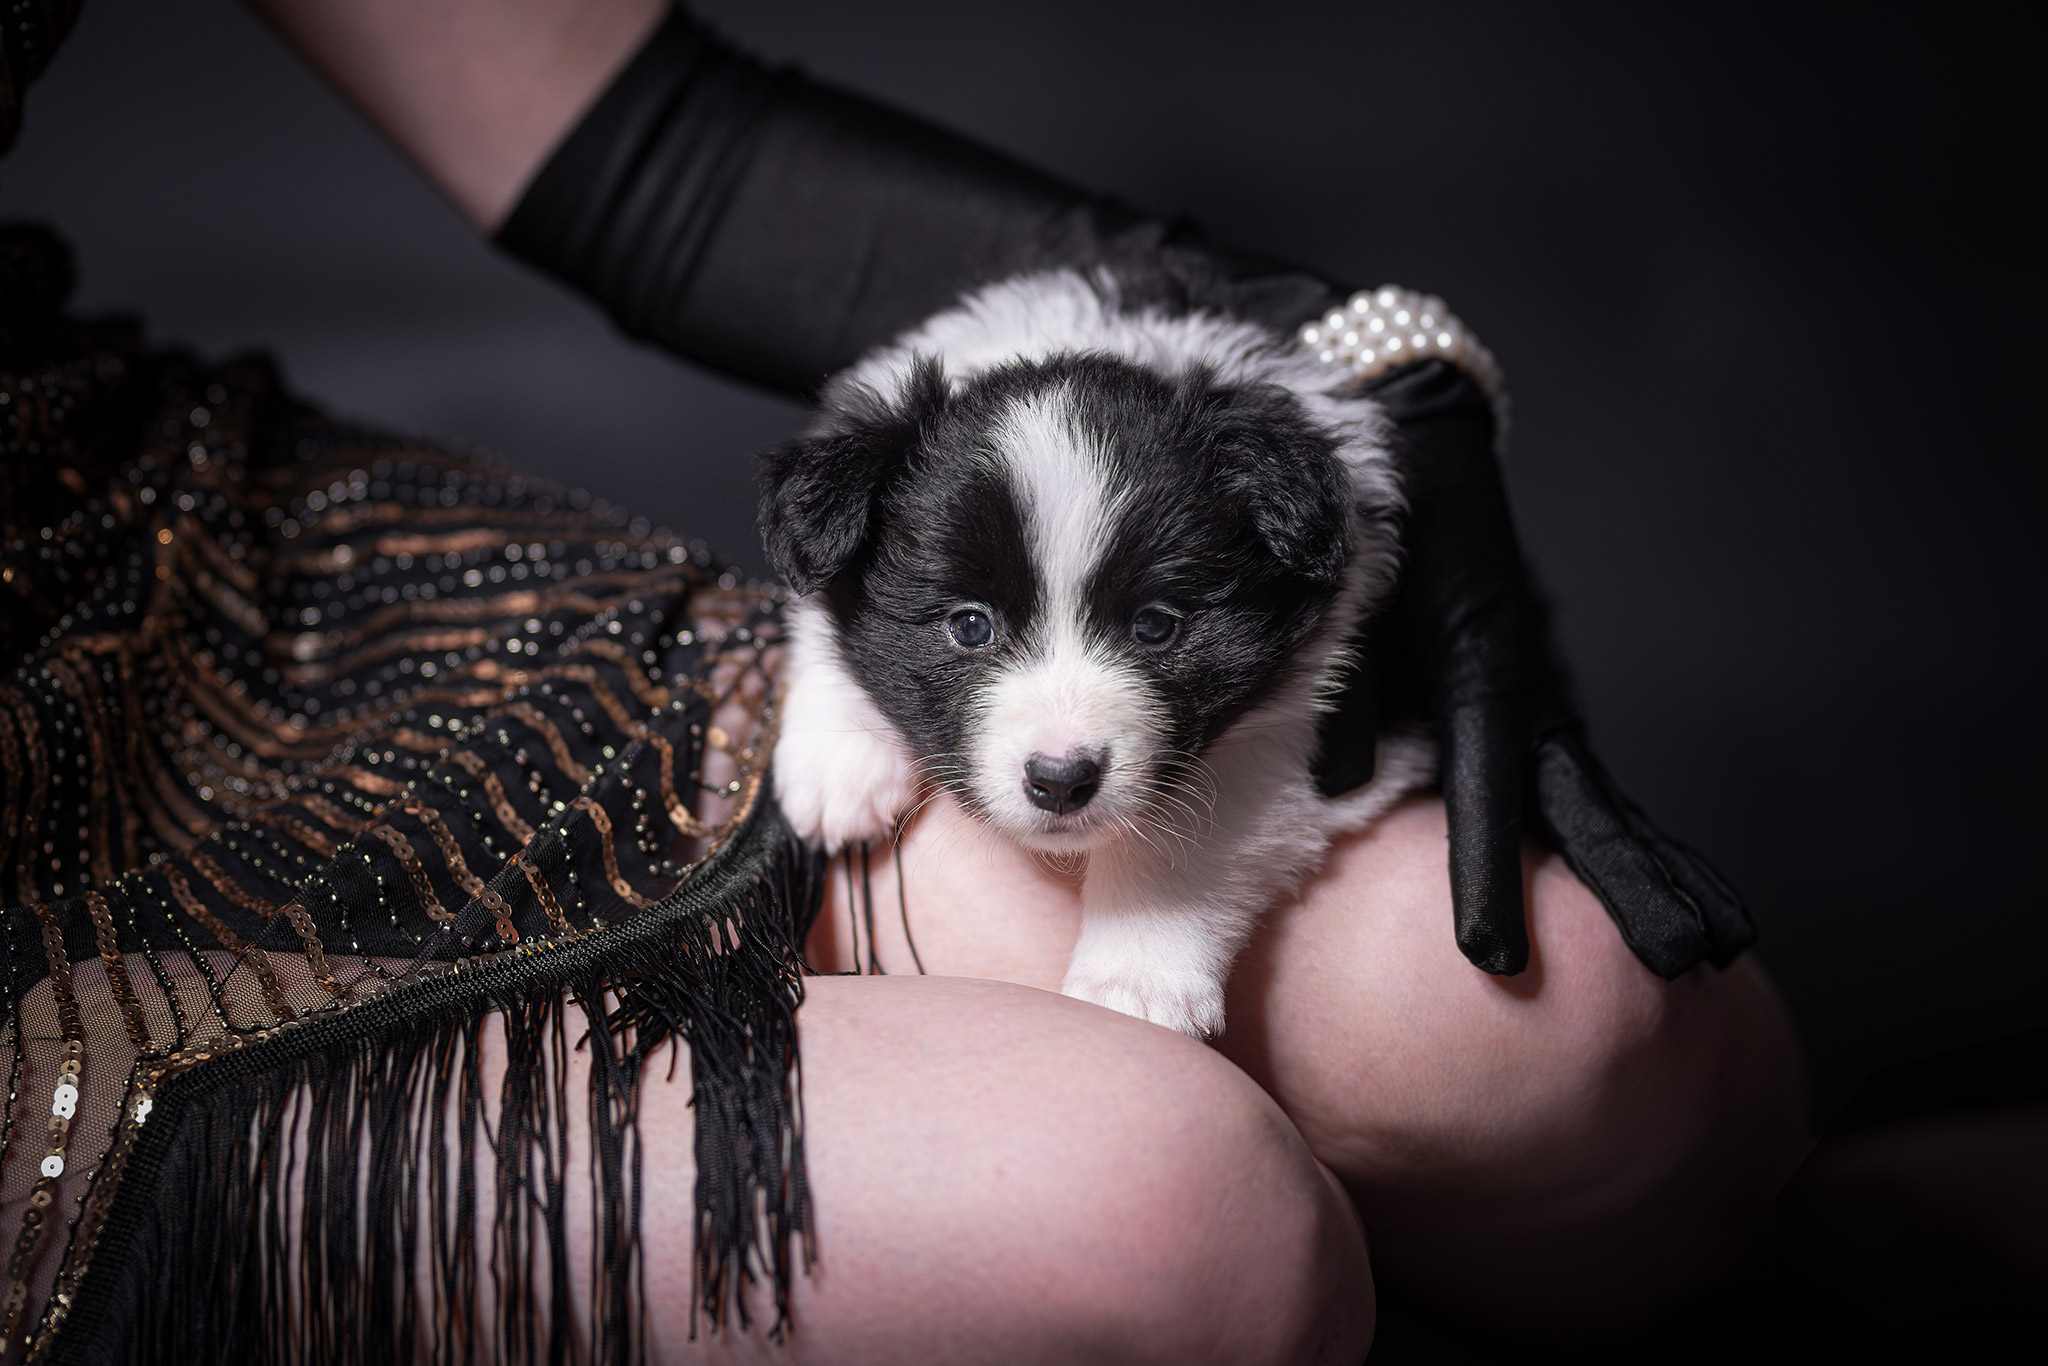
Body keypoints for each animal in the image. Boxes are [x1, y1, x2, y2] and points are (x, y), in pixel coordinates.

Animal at [761, 272, 1433, 1040]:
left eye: (1155, 627)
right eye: (970, 625)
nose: (1060, 780)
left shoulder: (1319, 715)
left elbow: (1189, 829)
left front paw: (1136, 980)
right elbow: (821, 612)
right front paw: (837, 759)